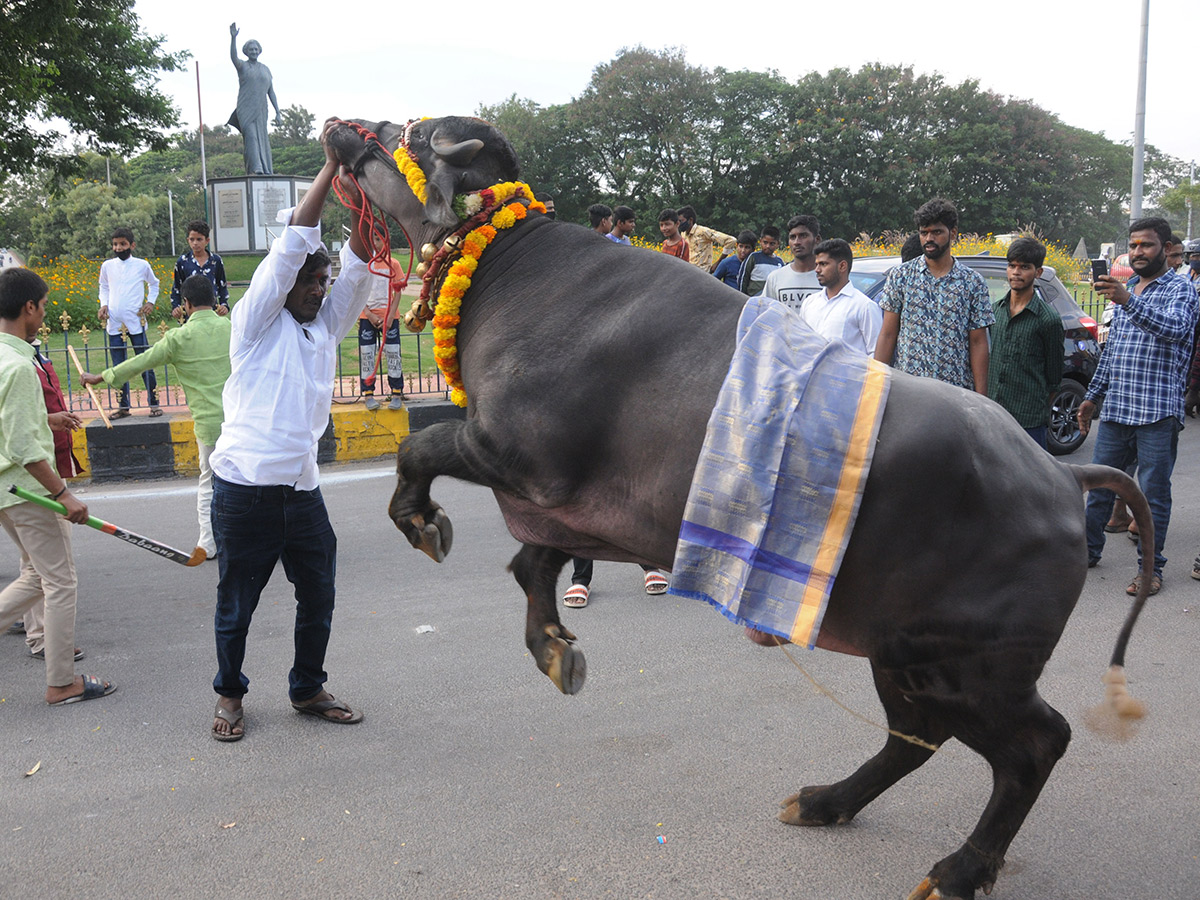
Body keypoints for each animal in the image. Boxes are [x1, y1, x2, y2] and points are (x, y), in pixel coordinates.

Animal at [328, 114, 1152, 900]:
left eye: (409, 132)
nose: (340, 126)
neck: (506, 264)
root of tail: (1061, 476)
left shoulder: (513, 451)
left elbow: (420, 452)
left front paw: (422, 521)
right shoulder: (569, 508)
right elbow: (532, 565)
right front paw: (555, 646)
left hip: (974, 666)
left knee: (1035, 745)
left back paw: (958, 869)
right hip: (901, 652)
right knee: (915, 736)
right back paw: (825, 801)